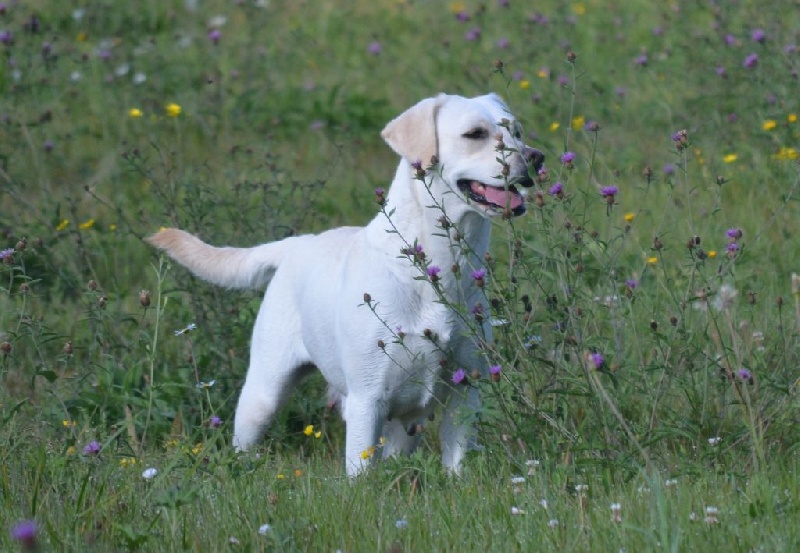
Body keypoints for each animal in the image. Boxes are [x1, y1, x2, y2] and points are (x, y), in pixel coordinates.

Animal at [147, 94, 544, 474]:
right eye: (475, 134)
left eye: (517, 131)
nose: (536, 158)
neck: (441, 272)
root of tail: (296, 243)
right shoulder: (367, 399)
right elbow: (361, 473)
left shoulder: (466, 391)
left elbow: (456, 464)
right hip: (263, 394)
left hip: (403, 424)